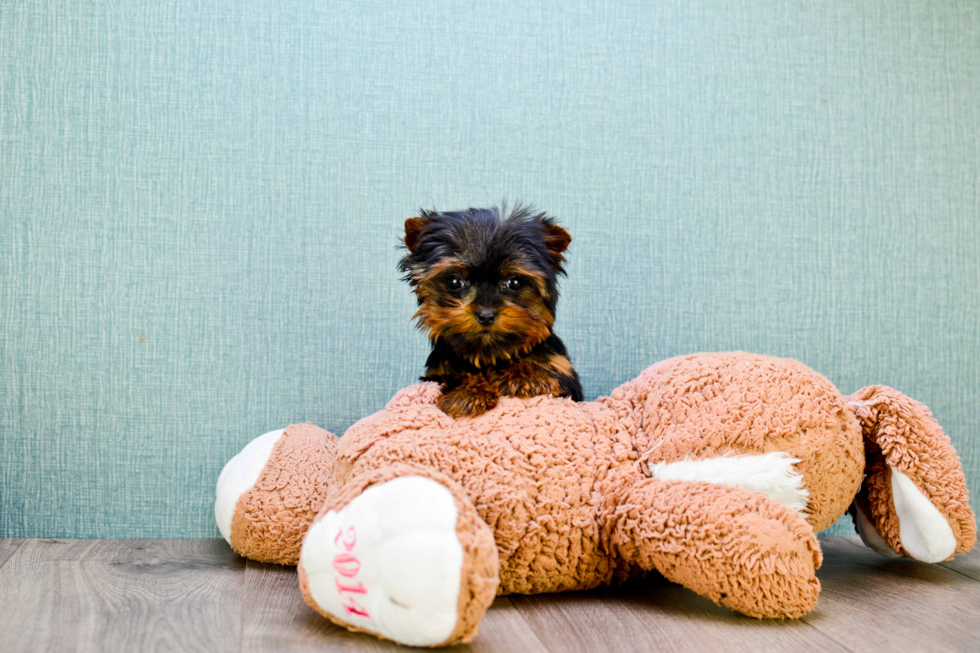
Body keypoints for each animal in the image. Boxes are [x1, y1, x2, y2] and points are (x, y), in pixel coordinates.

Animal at [398, 205, 580, 418]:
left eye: (514, 283)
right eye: (454, 282)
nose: (486, 315)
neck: (489, 354)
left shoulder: (563, 370)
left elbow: (552, 371)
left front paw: (527, 376)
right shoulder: (437, 373)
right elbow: (454, 377)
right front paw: (467, 393)